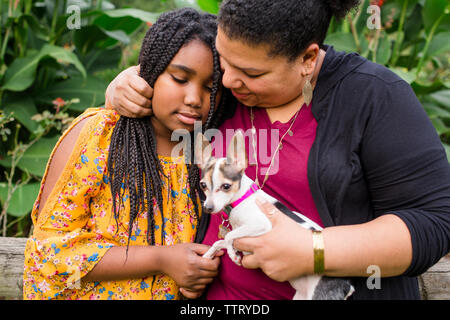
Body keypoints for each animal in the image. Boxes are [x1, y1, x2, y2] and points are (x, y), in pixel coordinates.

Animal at [196, 130, 356, 300]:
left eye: (226, 186)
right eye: (203, 185)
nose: (208, 207)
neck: (242, 199)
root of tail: (347, 286)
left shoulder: (260, 225)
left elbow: (228, 236)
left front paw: (232, 255)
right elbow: (220, 242)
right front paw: (208, 256)